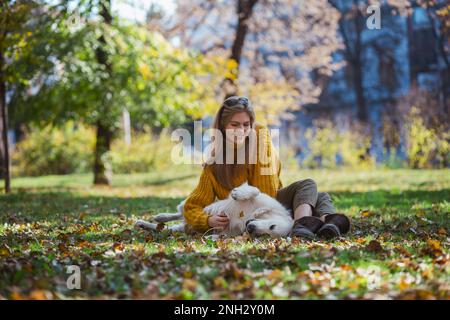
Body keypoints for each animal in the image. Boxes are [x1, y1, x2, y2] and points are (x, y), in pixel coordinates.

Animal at [135, 182, 294, 238]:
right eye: (272, 226)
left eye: (265, 235)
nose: (251, 228)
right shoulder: (262, 198)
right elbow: (255, 190)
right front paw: (238, 193)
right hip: (199, 207)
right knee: (182, 211)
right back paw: (160, 216)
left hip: (180, 228)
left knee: (165, 228)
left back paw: (144, 224)